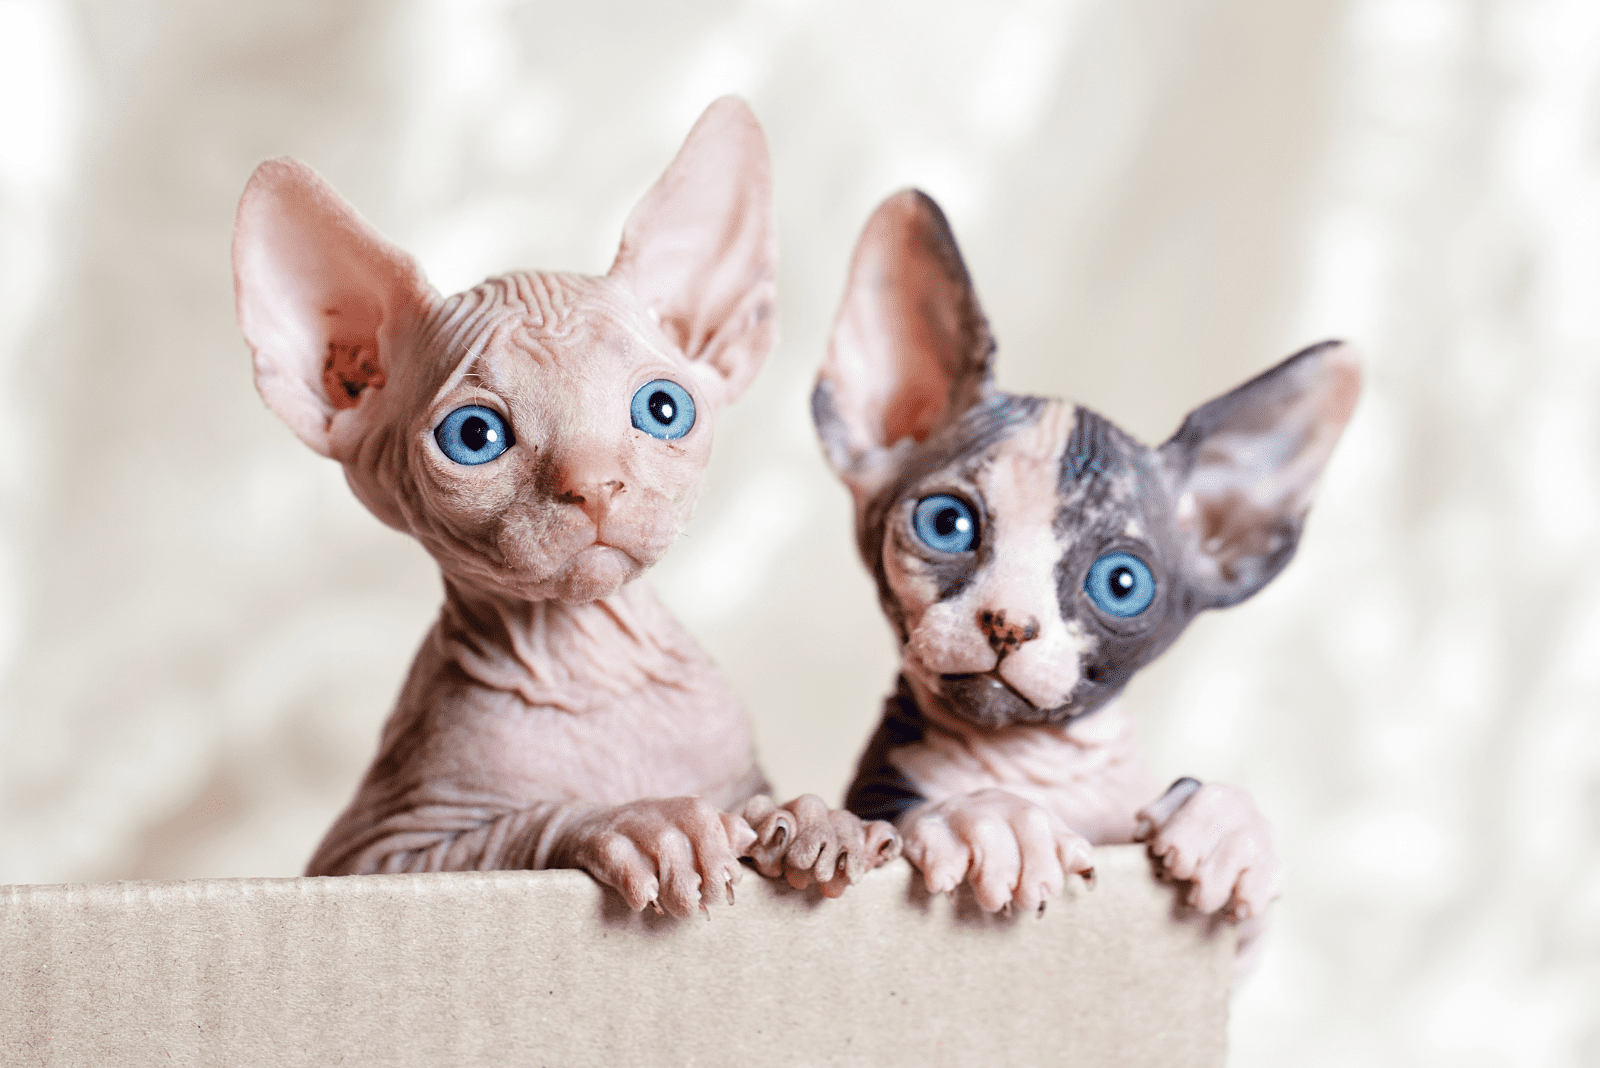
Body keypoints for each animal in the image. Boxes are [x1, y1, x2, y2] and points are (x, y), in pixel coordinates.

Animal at [233, 97, 902, 920]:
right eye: (474, 435)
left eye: (663, 409)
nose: (594, 483)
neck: (596, 666)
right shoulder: (364, 859)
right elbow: (510, 832)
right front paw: (645, 822)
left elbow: (760, 805)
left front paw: (814, 820)